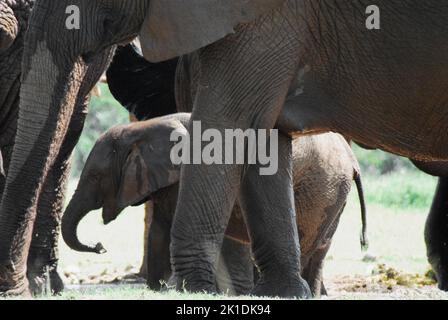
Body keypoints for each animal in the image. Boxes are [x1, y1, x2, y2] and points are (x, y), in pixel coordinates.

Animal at [61, 112, 366, 298]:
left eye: (95, 176)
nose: (100, 246)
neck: (143, 128)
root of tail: (353, 161)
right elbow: (160, 229)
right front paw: (159, 289)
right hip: (332, 190)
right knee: (321, 246)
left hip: (320, 186)